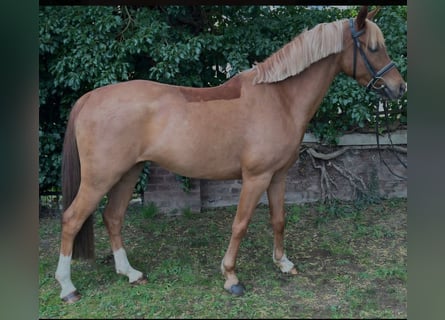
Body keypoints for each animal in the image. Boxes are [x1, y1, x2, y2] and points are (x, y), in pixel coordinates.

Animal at [54, 7, 406, 302]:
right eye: (374, 48)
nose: (398, 87)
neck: (280, 99)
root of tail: (89, 98)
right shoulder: (256, 178)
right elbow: (240, 224)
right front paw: (231, 277)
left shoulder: (278, 176)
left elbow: (279, 219)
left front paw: (283, 263)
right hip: (100, 178)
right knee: (71, 219)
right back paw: (68, 288)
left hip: (128, 173)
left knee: (112, 217)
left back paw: (130, 273)